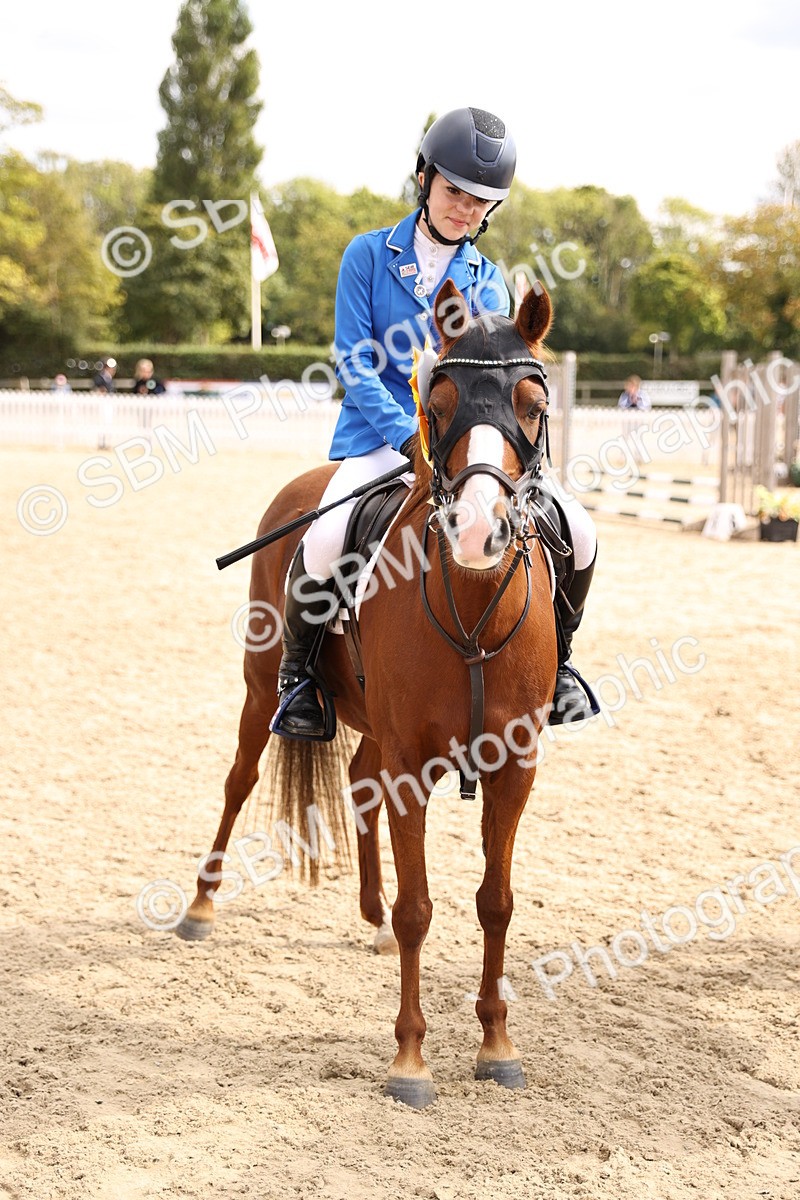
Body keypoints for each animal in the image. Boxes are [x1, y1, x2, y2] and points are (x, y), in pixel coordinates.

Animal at [177, 278, 560, 1109]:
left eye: (533, 404)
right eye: (437, 402)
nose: (478, 532)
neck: (471, 604)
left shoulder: (514, 767)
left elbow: (497, 901)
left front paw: (497, 1045)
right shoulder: (413, 762)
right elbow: (422, 910)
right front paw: (410, 1061)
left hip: (375, 730)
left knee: (357, 783)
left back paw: (370, 914)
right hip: (261, 687)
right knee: (240, 780)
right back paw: (199, 905)